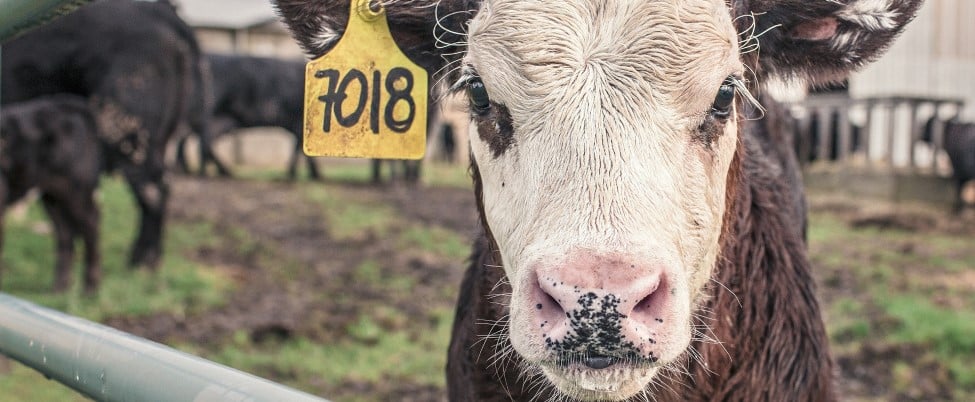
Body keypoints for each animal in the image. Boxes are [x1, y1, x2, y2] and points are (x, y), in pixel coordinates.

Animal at [0, 96, 102, 294]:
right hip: (52, 195)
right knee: (65, 232)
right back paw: (60, 287)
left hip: (76, 189)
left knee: (91, 224)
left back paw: (90, 287)